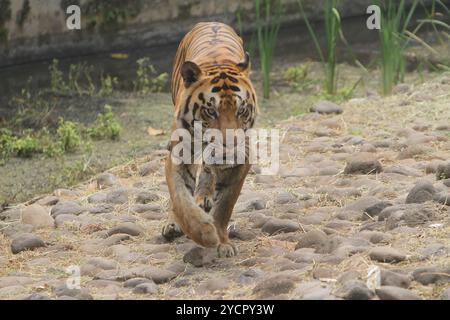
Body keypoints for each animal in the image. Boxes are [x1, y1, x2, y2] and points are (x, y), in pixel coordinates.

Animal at [163, 21, 258, 258]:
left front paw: (222, 241)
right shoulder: (178, 156)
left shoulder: (242, 161)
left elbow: (225, 206)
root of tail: (210, 22)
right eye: (211, 111)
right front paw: (204, 233)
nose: (229, 145)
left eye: (241, 110)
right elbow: (180, 199)